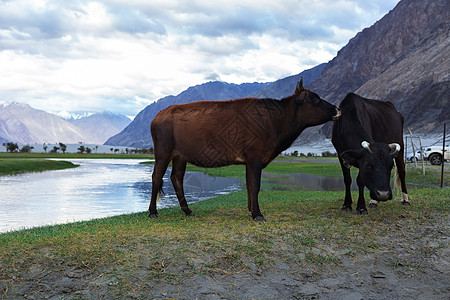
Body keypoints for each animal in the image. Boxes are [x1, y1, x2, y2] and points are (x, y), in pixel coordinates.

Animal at [149, 78, 340, 221]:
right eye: (315, 98)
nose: (338, 109)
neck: (276, 123)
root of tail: (159, 114)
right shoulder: (255, 157)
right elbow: (255, 185)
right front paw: (258, 214)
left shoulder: (250, 161)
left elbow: (249, 185)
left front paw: (251, 210)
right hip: (163, 151)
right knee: (157, 177)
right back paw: (153, 212)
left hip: (180, 156)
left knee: (176, 178)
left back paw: (187, 210)